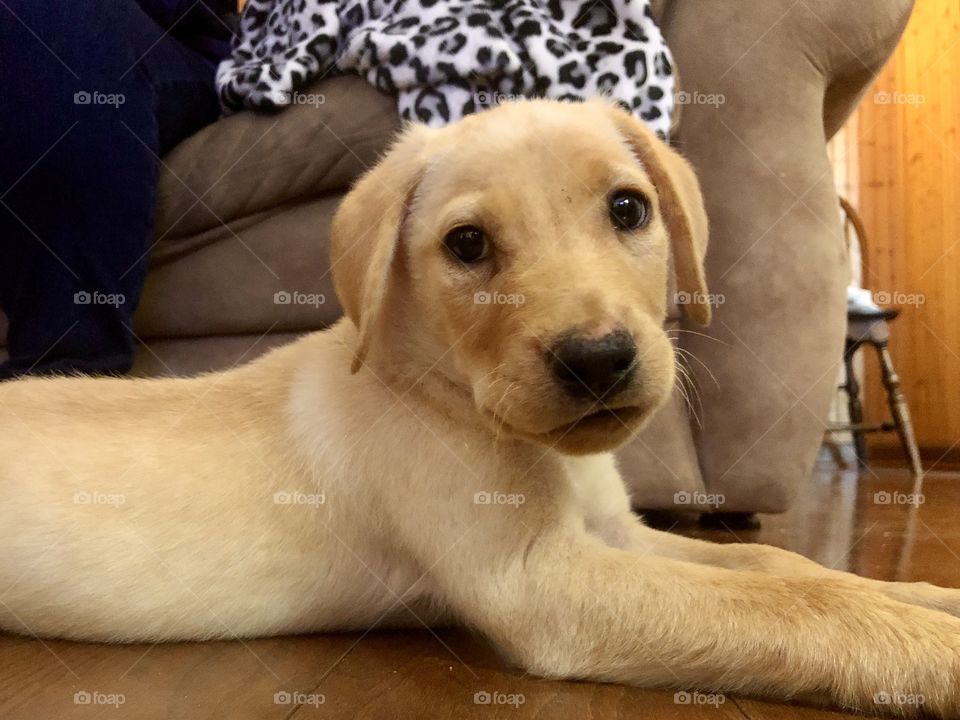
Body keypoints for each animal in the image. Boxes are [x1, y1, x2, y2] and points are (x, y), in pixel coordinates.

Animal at [1, 100, 960, 716]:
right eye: (467, 246)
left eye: (628, 208)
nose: (598, 360)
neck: (443, 388)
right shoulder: (539, 579)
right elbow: (787, 608)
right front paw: (934, 652)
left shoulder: (615, 534)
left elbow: (785, 570)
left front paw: (922, 597)